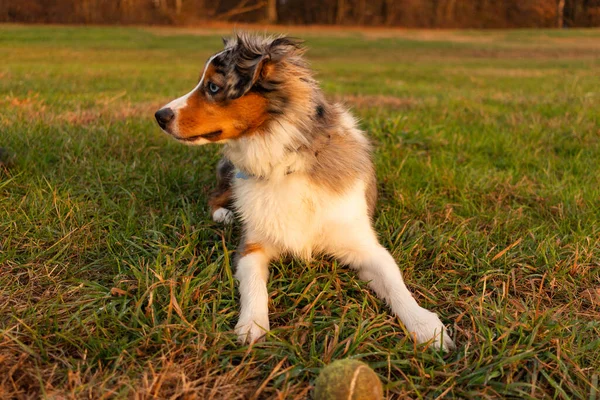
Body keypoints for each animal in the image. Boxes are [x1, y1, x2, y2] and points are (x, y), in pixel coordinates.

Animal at [155, 32, 454, 350]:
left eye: (213, 87)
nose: (159, 115)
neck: (284, 162)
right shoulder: (252, 247)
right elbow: (253, 286)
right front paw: (252, 326)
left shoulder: (365, 246)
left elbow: (394, 281)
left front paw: (425, 325)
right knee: (215, 196)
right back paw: (225, 215)